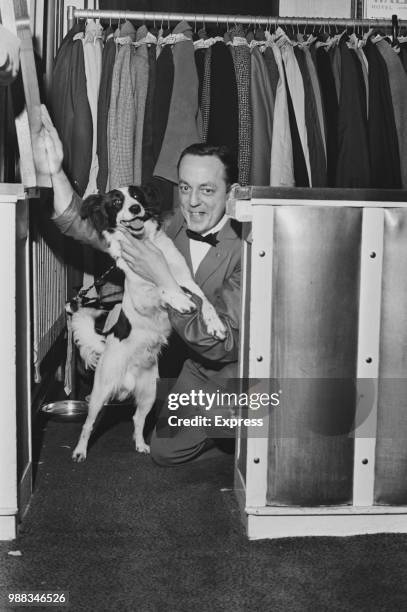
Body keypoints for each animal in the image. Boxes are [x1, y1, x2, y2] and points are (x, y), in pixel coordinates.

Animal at [72, 184, 228, 462]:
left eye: (137, 196)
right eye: (116, 201)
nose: (135, 208)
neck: (145, 242)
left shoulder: (187, 281)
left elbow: (204, 301)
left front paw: (215, 324)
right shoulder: (143, 297)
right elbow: (163, 289)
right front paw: (179, 300)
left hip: (149, 394)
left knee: (137, 419)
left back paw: (141, 444)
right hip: (100, 394)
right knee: (88, 425)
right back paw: (80, 451)